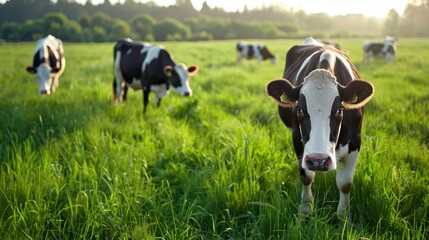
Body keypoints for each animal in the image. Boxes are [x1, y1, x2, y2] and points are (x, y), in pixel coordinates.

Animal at [266, 37, 372, 223]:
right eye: (299, 109)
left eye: (339, 110)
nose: (318, 161)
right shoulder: (298, 140)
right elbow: (306, 177)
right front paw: (306, 211)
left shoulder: (355, 141)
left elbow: (345, 183)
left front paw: (344, 217)